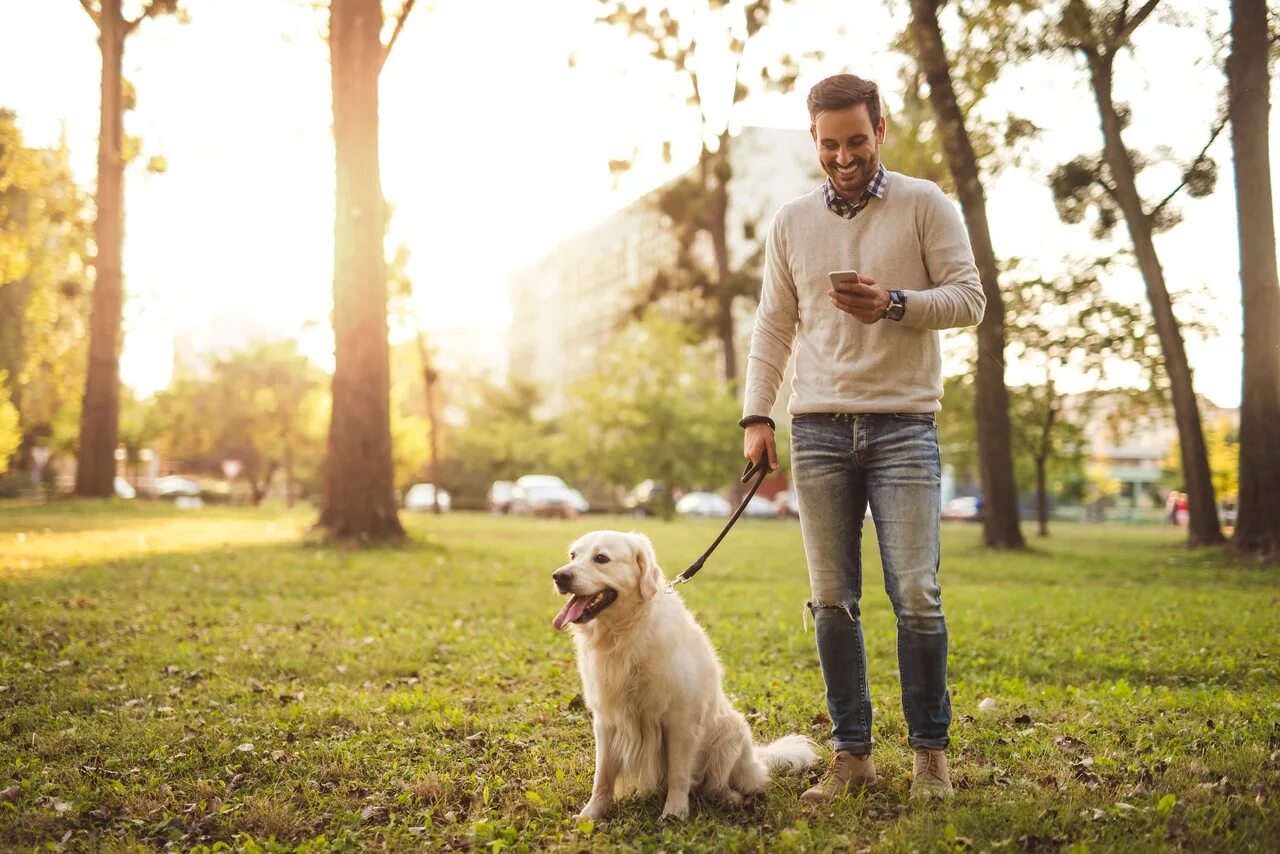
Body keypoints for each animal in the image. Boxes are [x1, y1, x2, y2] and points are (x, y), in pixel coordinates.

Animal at [547, 527, 808, 819]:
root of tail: (756, 760)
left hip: (731, 730)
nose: (559, 576)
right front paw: (591, 814)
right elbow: (602, 775)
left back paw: (731, 798)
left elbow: (679, 774)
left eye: (601, 558)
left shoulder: (680, 719)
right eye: (573, 555)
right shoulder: (606, 720)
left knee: (720, 785)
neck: (627, 633)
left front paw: (674, 813)